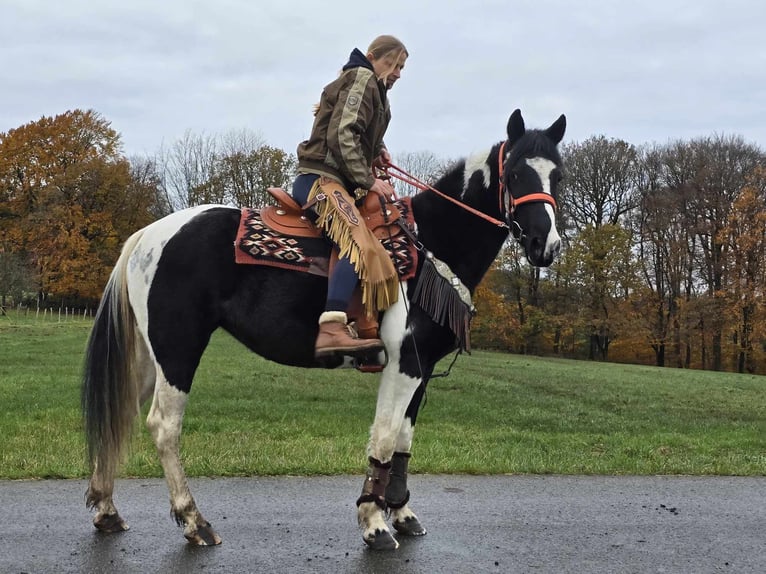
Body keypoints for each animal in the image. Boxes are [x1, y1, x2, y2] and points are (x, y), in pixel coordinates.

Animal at [82, 109, 564, 552]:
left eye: (557, 175)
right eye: (516, 172)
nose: (546, 245)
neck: (429, 244)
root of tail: (147, 235)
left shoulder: (422, 367)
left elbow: (403, 440)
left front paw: (402, 512)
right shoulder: (404, 362)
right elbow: (384, 438)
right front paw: (374, 521)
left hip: (150, 356)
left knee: (122, 410)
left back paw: (106, 510)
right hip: (178, 349)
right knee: (164, 425)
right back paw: (193, 521)